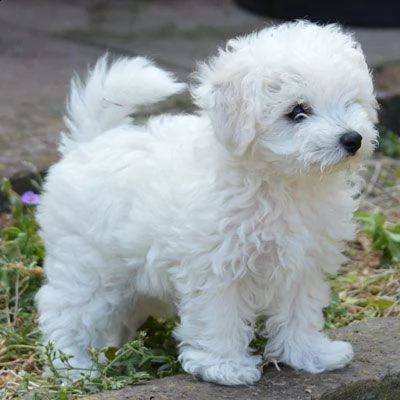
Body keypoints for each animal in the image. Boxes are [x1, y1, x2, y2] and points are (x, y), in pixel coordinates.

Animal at [36, 21, 378, 384]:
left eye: (350, 102)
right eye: (297, 111)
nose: (352, 139)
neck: (285, 184)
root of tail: (88, 143)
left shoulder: (303, 262)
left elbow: (300, 311)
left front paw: (309, 354)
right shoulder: (217, 266)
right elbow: (220, 317)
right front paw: (224, 365)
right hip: (87, 266)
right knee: (66, 311)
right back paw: (74, 368)